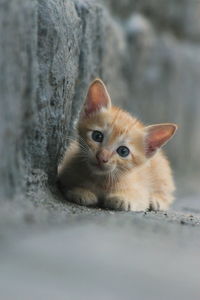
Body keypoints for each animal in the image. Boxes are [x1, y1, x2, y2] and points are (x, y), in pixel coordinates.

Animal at [57, 78, 177, 212]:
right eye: (97, 136)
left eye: (123, 151)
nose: (102, 157)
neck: (101, 181)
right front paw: (81, 191)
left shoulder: (141, 191)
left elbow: (139, 199)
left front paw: (123, 198)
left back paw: (157, 201)